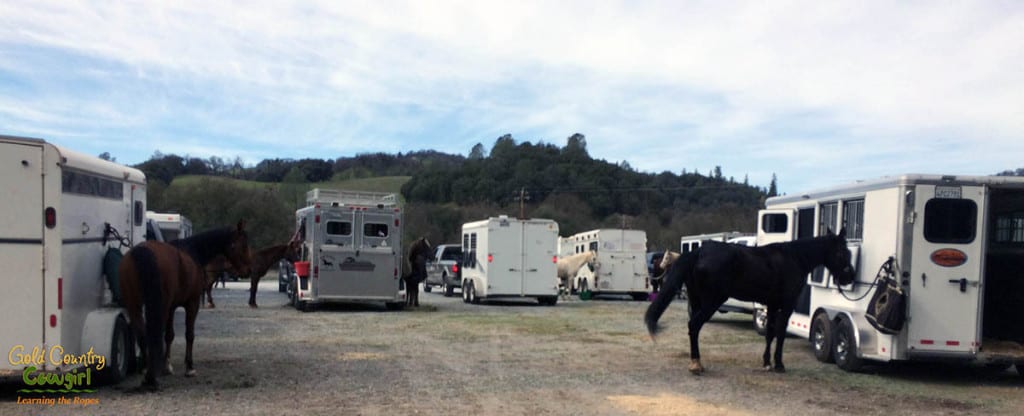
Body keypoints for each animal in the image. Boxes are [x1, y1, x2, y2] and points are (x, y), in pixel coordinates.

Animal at [116, 221, 249, 389]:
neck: (193, 250)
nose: (246, 271)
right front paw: (189, 367)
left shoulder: (171, 307)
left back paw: (147, 369)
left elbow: (169, 335)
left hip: (134, 305)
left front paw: (167, 366)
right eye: (242, 245)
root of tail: (142, 252)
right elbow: (189, 335)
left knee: (141, 334)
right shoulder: (192, 304)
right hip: (159, 306)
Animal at [647, 229, 856, 375]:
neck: (794, 258)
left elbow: (769, 333)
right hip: (712, 301)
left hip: (697, 300)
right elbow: (780, 334)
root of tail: (698, 252)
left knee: (694, 329)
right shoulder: (786, 305)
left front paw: (767, 363)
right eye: (842, 252)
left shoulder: (772, 304)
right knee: (694, 325)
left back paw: (696, 363)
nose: (850, 276)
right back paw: (697, 365)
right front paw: (779, 365)